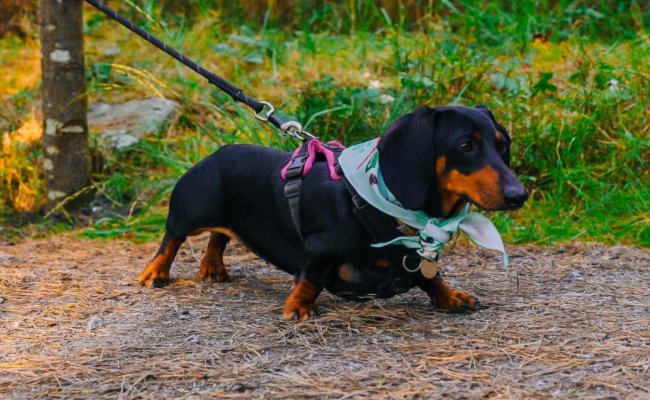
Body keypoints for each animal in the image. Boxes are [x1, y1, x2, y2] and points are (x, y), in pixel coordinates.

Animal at [138, 104, 528, 320]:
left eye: (502, 144)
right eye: (465, 145)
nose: (519, 196)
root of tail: (217, 153)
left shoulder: (416, 258)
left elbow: (429, 276)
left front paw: (449, 296)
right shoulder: (318, 249)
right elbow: (311, 277)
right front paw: (299, 306)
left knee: (219, 236)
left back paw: (213, 267)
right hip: (191, 210)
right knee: (172, 238)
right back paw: (156, 272)